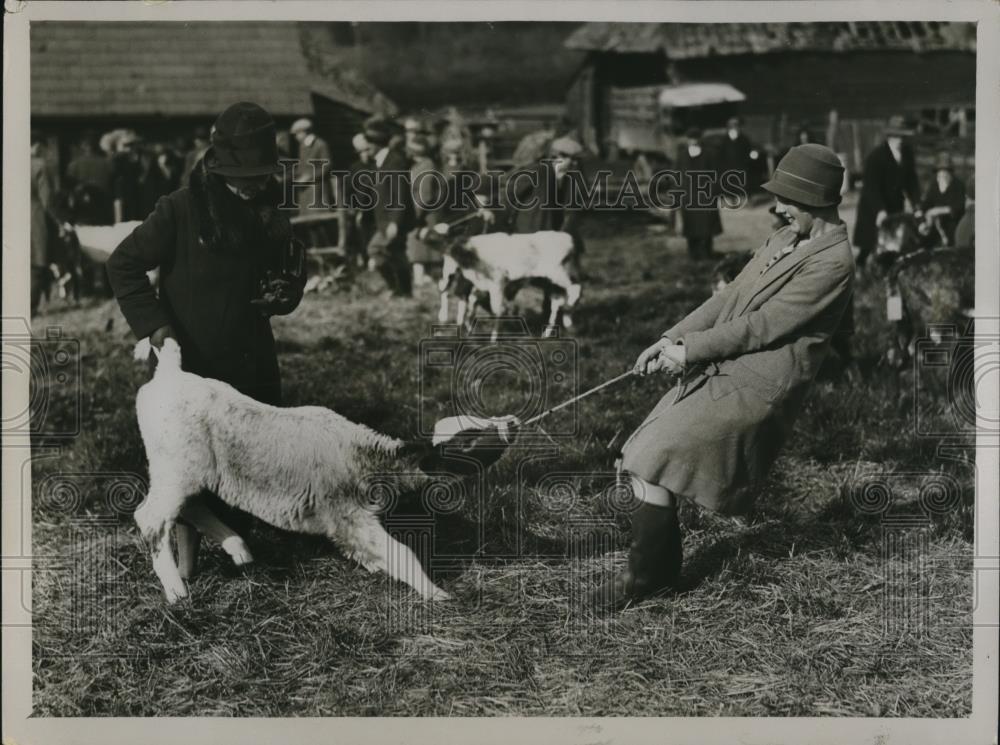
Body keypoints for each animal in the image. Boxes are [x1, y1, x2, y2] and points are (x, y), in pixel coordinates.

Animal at [131, 338, 452, 604]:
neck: (360, 454)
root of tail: (168, 373)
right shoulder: (349, 515)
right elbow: (403, 553)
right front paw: (436, 593)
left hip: (188, 474)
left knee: (190, 508)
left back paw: (238, 548)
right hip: (176, 469)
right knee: (151, 518)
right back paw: (177, 591)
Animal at [440, 230, 584, 338]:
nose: (447, 269)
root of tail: (570, 239)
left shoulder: (497, 283)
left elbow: (497, 309)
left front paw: (494, 339)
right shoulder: (481, 286)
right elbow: (472, 304)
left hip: (557, 273)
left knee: (576, 288)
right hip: (552, 283)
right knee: (558, 304)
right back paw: (550, 332)